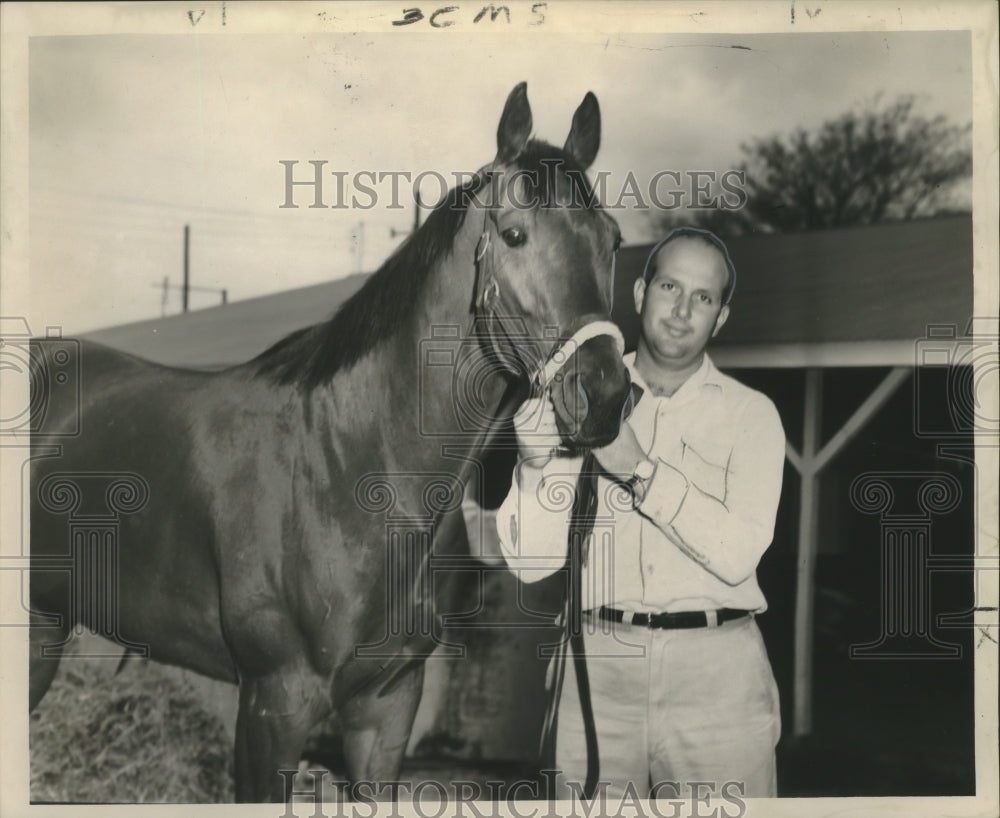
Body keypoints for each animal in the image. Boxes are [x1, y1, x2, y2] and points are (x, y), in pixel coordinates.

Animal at [29, 81, 632, 796]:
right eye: (514, 235)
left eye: (613, 240)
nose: (604, 395)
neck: (348, 471)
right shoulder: (273, 705)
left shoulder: (387, 706)